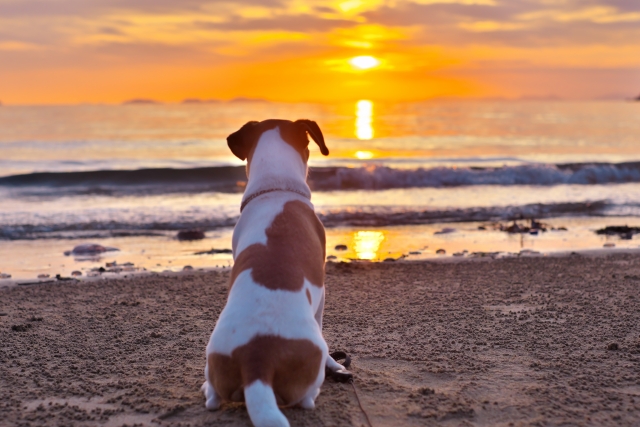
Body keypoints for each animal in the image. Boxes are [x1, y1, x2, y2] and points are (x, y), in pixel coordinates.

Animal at [202, 119, 348, 427]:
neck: (276, 189)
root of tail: (256, 363)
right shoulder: (322, 294)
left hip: (214, 356)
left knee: (213, 399)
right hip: (310, 363)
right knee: (305, 399)